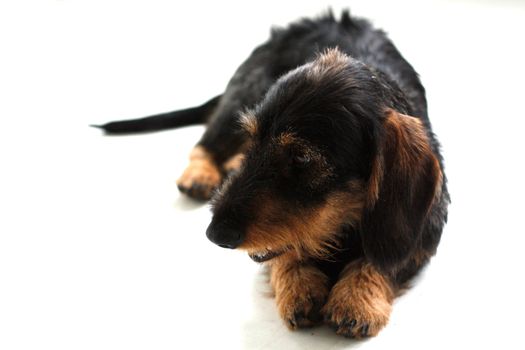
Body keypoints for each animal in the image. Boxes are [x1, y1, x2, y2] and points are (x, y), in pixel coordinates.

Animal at [95, 11, 450, 340]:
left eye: (302, 158)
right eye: (254, 138)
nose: (214, 234)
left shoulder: (424, 235)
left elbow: (382, 260)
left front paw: (356, 298)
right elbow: (284, 250)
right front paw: (300, 287)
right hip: (242, 96)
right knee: (205, 143)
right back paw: (200, 175)